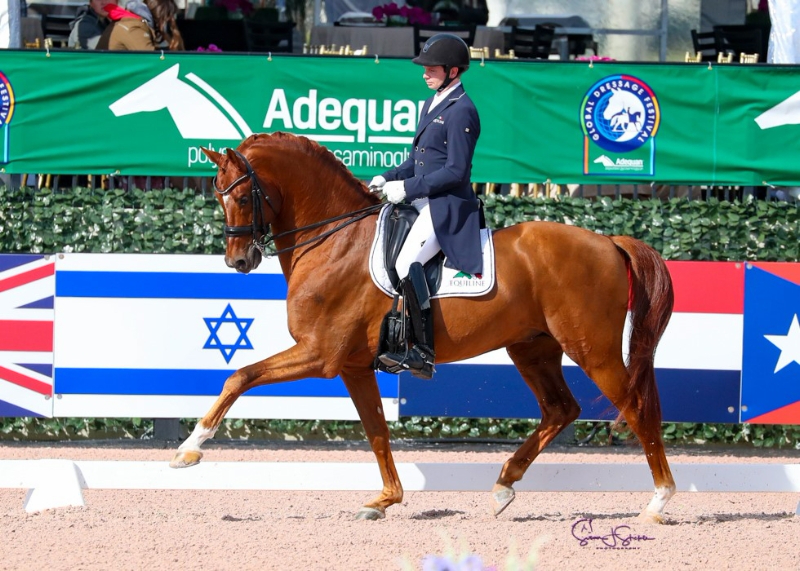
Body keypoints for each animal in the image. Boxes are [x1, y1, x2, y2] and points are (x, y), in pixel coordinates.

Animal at [169, 132, 677, 523]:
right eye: (217, 196)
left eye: (240, 196)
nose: (239, 261)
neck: (335, 241)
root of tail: (607, 240)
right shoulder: (353, 366)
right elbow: (376, 431)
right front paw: (384, 500)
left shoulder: (321, 355)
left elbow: (239, 376)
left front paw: (190, 448)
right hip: (533, 348)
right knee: (560, 409)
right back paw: (503, 485)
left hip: (593, 349)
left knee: (636, 408)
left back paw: (658, 502)